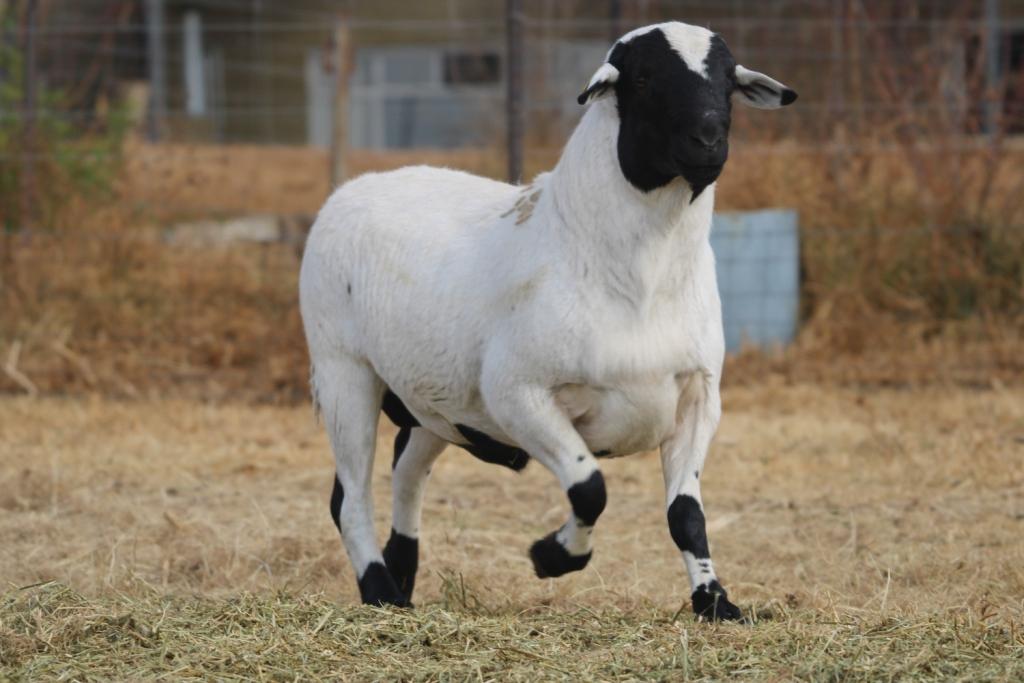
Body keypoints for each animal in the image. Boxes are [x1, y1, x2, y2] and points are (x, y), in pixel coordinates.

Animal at [300, 21, 796, 620]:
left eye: (727, 82)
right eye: (644, 79)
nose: (708, 142)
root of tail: (352, 188)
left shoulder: (698, 397)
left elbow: (686, 514)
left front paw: (716, 602)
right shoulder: (517, 393)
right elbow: (590, 488)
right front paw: (552, 557)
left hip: (432, 404)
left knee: (406, 474)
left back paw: (402, 582)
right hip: (343, 371)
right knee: (349, 498)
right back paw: (380, 591)